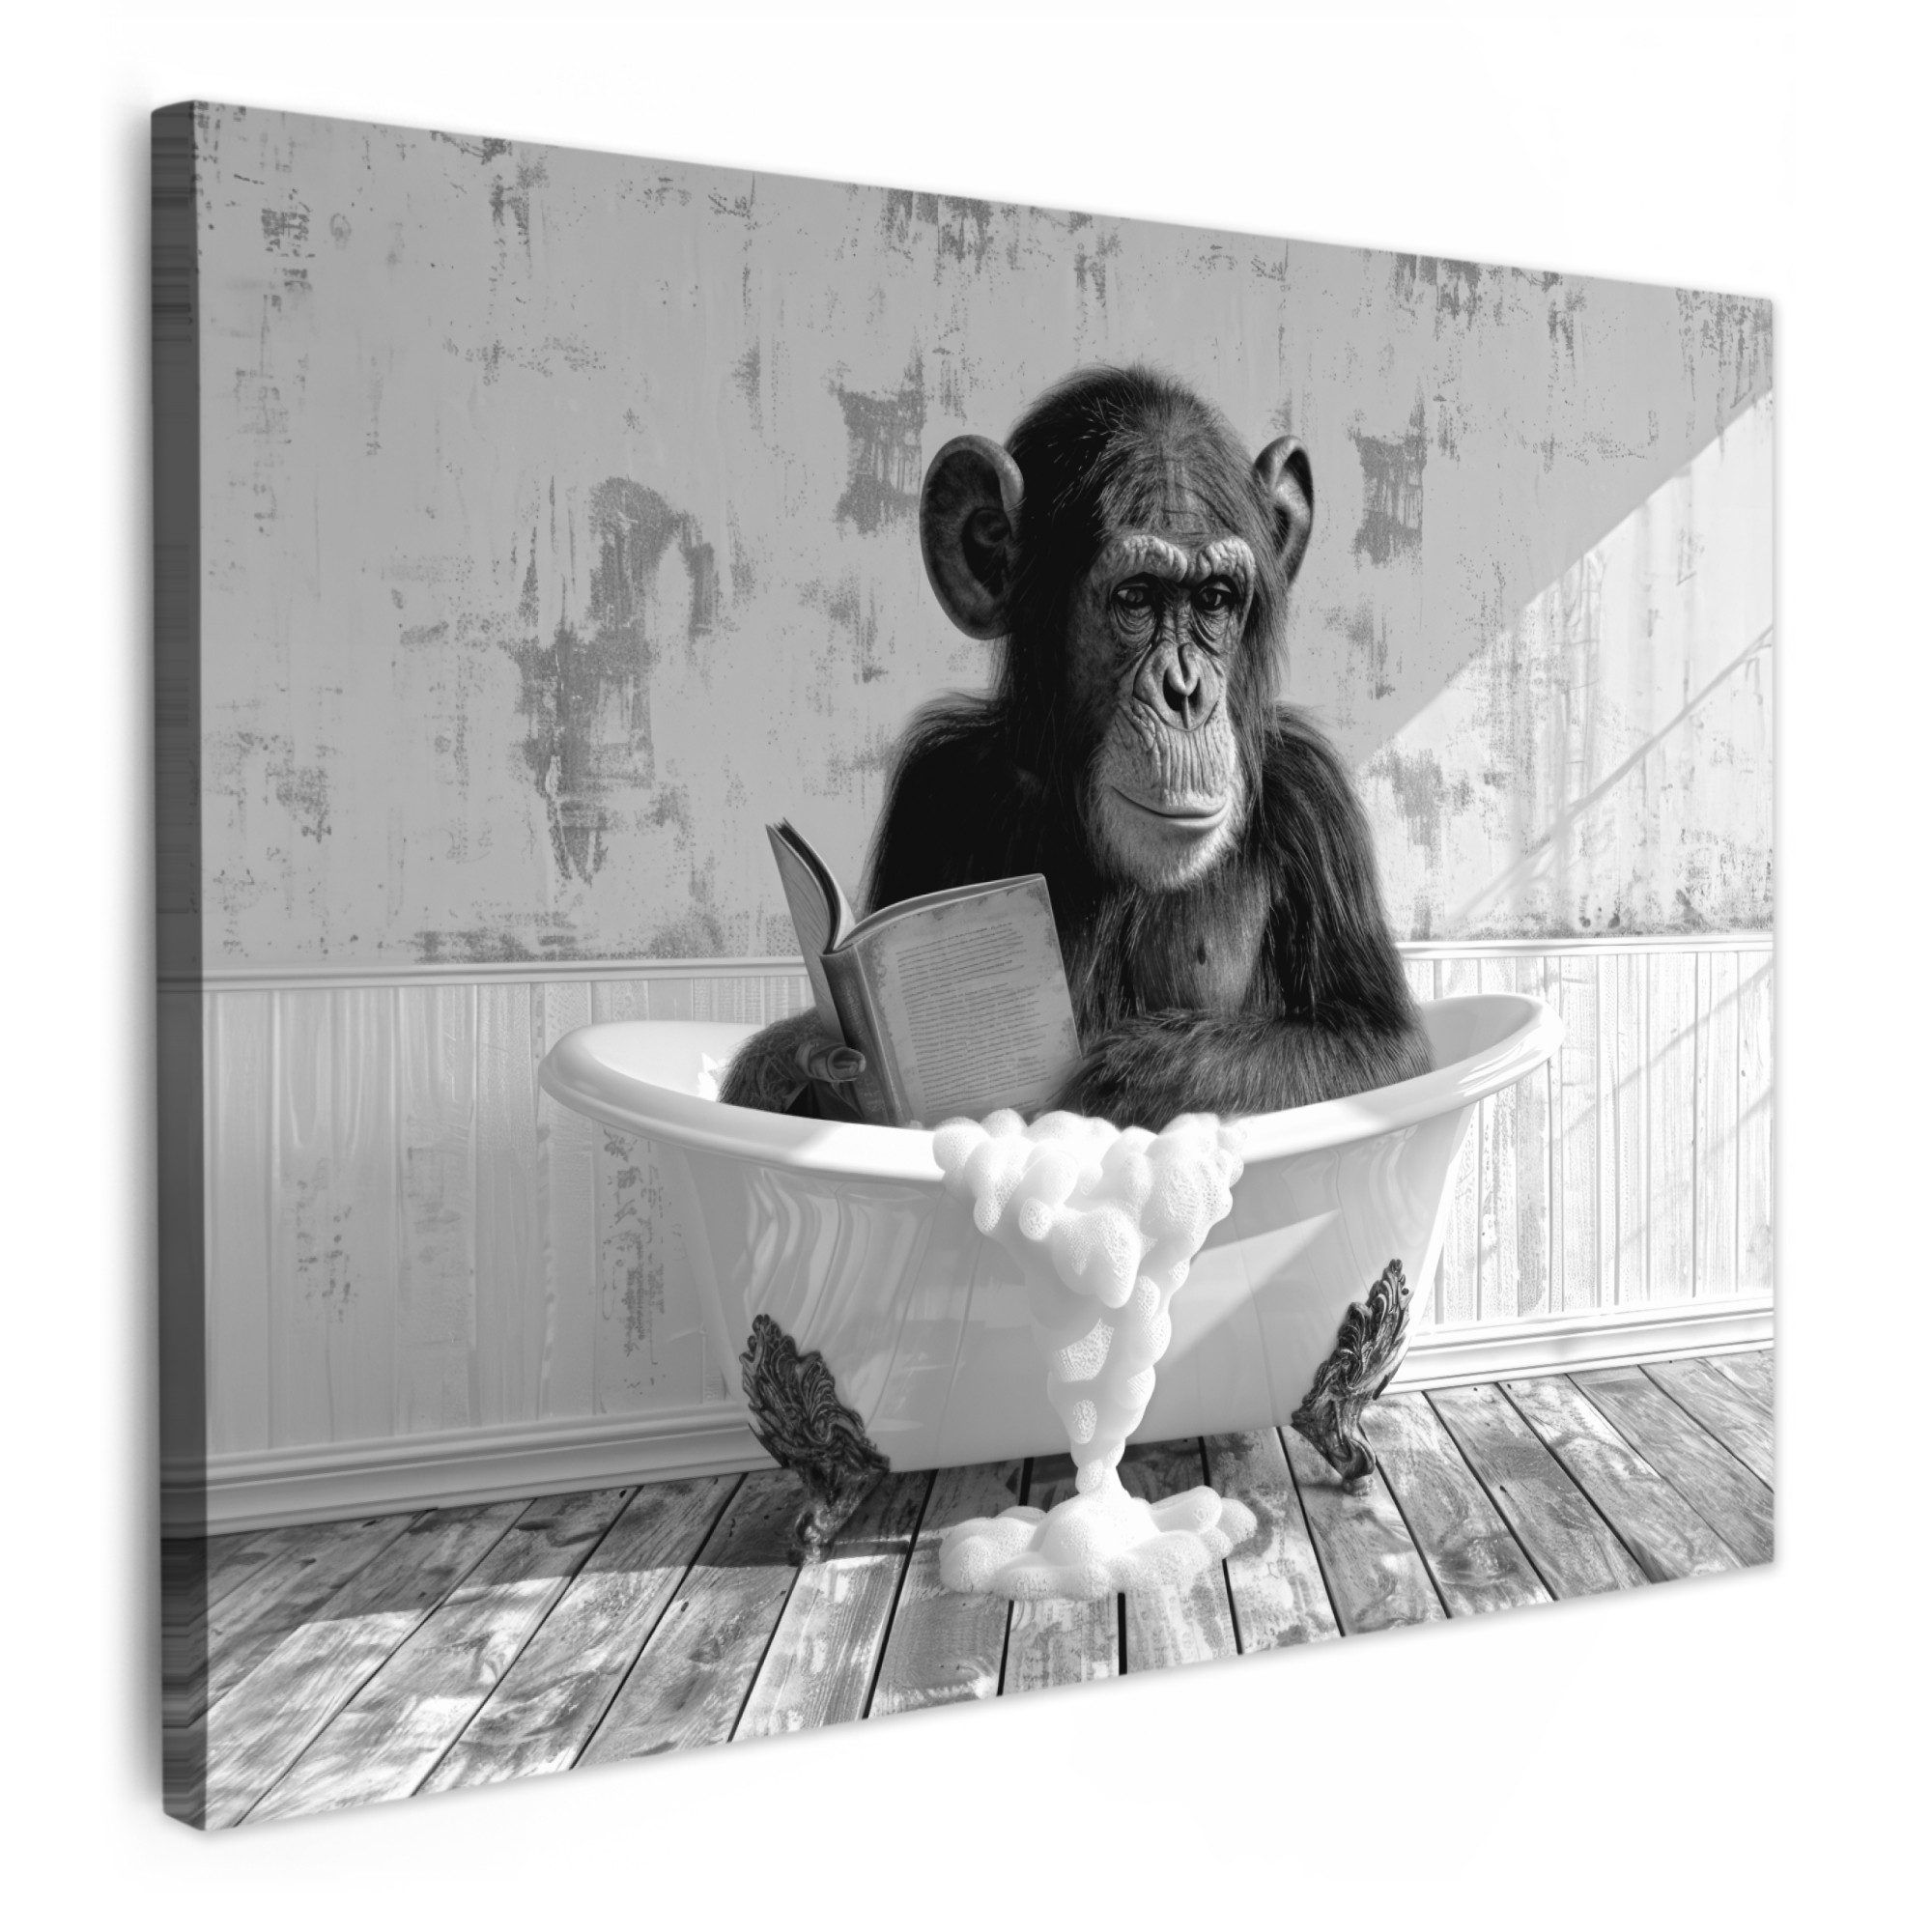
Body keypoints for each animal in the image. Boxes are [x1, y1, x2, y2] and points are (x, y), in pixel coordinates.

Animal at [721, 364, 1430, 1130]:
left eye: (1213, 599)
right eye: (1136, 596)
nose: (1185, 693)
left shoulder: (1312, 793)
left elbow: (1382, 1044)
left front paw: (1143, 1075)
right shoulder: (932, 785)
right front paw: (808, 1057)